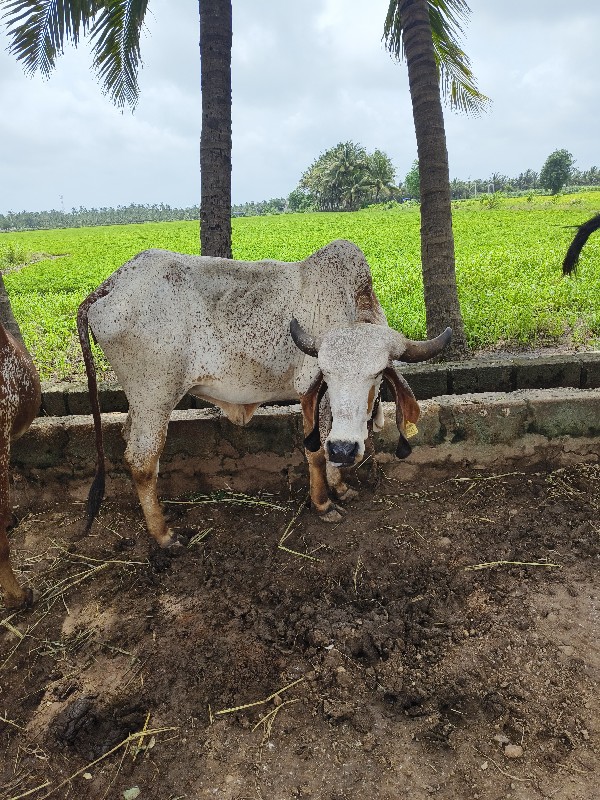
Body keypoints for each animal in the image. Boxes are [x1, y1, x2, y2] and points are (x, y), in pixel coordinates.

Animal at [76, 241, 450, 548]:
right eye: (326, 373)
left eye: (376, 374)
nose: (346, 449)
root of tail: (111, 284)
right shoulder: (309, 390)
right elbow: (316, 450)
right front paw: (323, 504)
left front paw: (341, 487)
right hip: (155, 397)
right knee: (142, 460)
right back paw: (164, 535)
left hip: (141, 402)